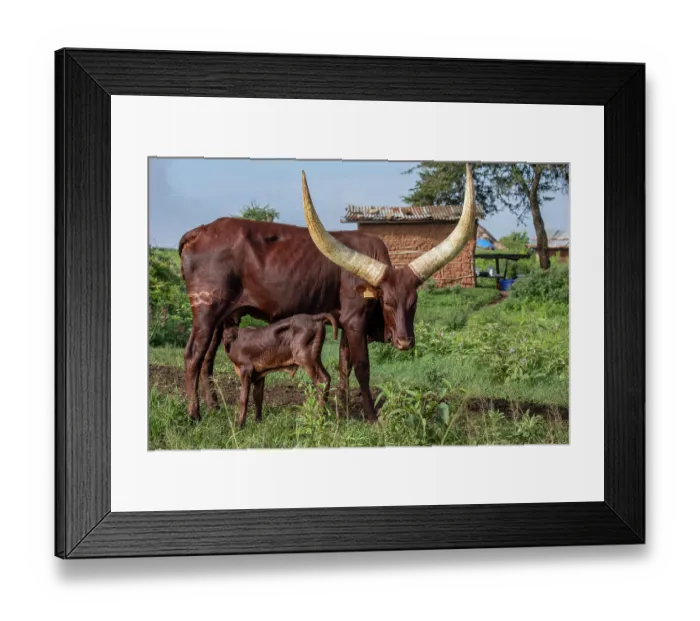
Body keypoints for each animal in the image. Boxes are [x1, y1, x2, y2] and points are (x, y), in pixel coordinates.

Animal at [178, 163, 477, 423]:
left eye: (414, 302)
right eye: (387, 301)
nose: (404, 342)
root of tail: (199, 231)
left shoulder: (346, 323)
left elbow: (344, 365)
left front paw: (342, 411)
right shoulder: (355, 322)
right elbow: (362, 367)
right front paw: (371, 417)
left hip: (225, 315)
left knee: (208, 359)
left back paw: (214, 407)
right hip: (206, 309)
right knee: (193, 355)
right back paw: (194, 414)